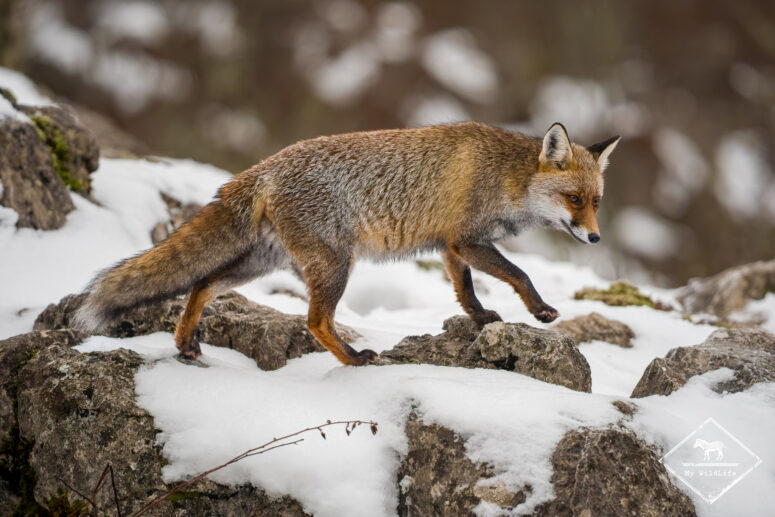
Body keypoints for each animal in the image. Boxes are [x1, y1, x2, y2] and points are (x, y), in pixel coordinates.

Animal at [75, 122, 620, 366]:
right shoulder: (467, 239)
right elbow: (520, 274)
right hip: (336, 265)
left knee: (203, 282)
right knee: (315, 322)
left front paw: (482, 318)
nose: (595, 237)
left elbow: (465, 291)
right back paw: (355, 359)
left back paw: (186, 343)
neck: (506, 177)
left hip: (263, 262)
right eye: (573, 199)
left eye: (597, 201)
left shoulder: (450, 245)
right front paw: (541, 310)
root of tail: (264, 167)